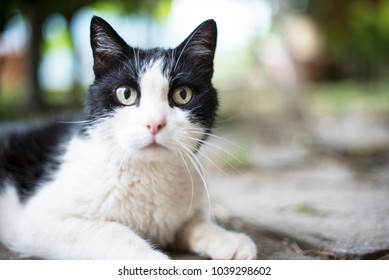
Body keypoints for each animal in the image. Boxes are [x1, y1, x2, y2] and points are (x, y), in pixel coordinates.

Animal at [0, 15, 256, 260]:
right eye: (126, 94)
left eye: (183, 94)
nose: (154, 123)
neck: (150, 175)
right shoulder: (37, 222)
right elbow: (112, 231)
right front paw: (152, 260)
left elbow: (194, 224)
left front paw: (229, 239)